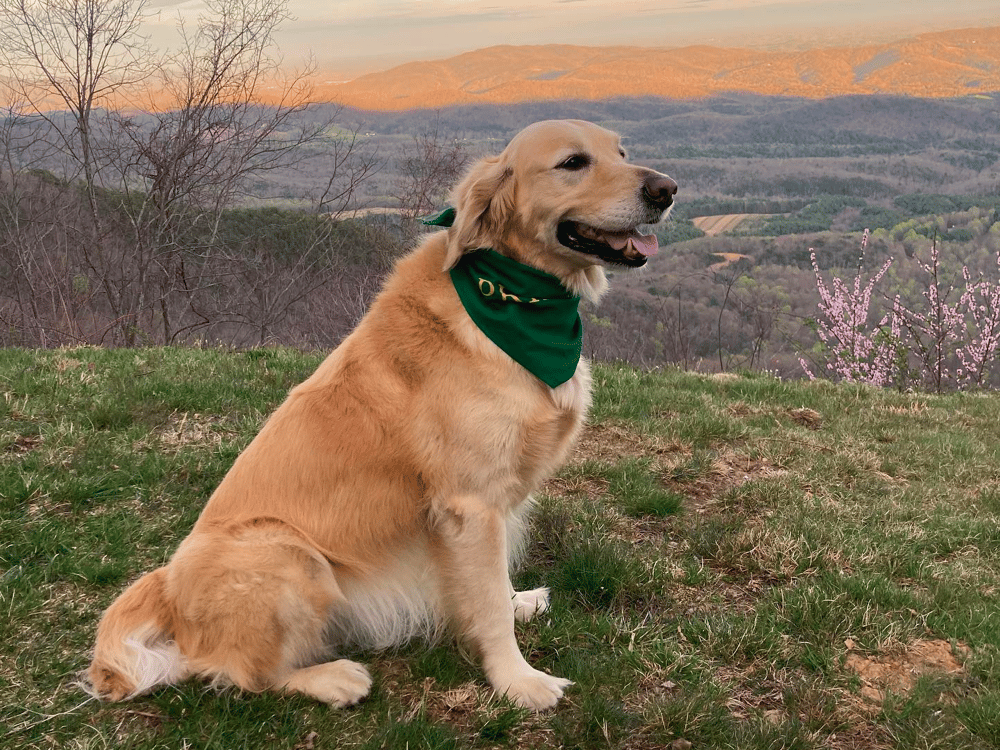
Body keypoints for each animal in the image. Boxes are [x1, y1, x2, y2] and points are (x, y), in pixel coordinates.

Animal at [88, 120, 680, 712]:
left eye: (620, 151)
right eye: (573, 163)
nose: (667, 189)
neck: (513, 304)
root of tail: (165, 588)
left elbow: (489, 586)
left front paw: (514, 603)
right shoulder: (471, 503)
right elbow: (487, 604)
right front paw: (518, 681)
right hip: (289, 555)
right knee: (238, 671)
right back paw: (332, 678)